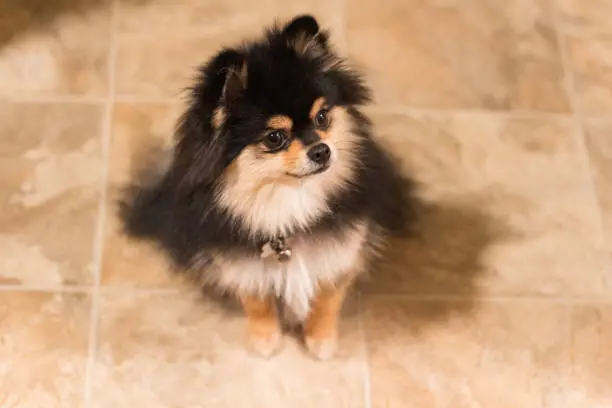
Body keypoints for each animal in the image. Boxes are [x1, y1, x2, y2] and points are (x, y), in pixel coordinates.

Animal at [120, 14, 412, 360]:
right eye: (275, 137)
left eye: (322, 117)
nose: (322, 150)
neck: (289, 201)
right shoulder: (240, 261)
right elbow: (257, 301)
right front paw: (265, 338)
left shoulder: (341, 251)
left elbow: (327, 297)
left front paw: (321, 339)